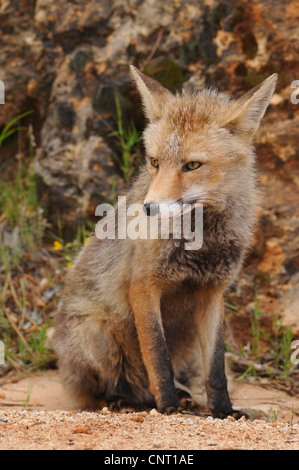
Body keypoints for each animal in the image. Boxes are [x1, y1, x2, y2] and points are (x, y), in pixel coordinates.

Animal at [52, 66, 278, 418]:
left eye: (192, 165)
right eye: (154, 162)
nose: (149, 208)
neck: (201, 242)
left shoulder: (213, 292)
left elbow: (217, 369)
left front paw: (224, 410)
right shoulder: (143, 286)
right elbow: (158, 356)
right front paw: (168, 406)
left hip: (187, 344)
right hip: (97, 331)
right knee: (105, 387)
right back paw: (123, 400)